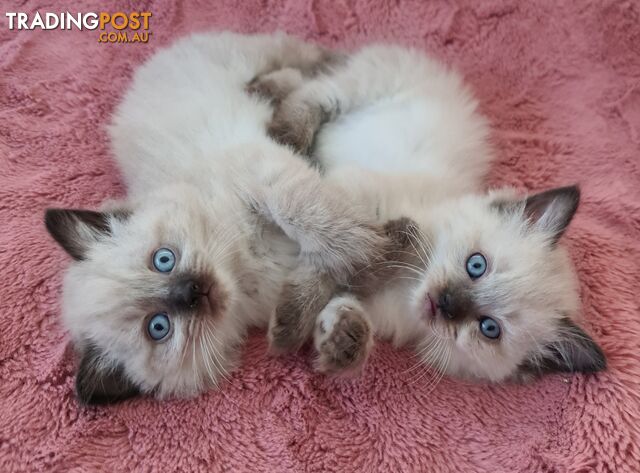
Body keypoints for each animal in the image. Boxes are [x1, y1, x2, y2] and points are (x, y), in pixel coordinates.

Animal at [47, 32, 384, 402]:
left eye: (163, 259)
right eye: (159, 327)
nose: (192, 290)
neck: (242, 266)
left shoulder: (263, 175)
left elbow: (309, 216)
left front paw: (364, 248)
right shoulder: (287, 277)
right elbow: (326, 279)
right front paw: (331, 336)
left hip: (253, 56)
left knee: (305, 63)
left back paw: (273, 90)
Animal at [256, 44, 604, 382]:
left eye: (489, 328)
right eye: (476, 265)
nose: (446, 303)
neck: (407, 280)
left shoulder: (371, 302)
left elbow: (342, 298)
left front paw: (342, 342)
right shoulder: (357, 202)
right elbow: (330, 256)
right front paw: (288, 327)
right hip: (364, 88)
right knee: (313, 90)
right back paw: (280, 122)